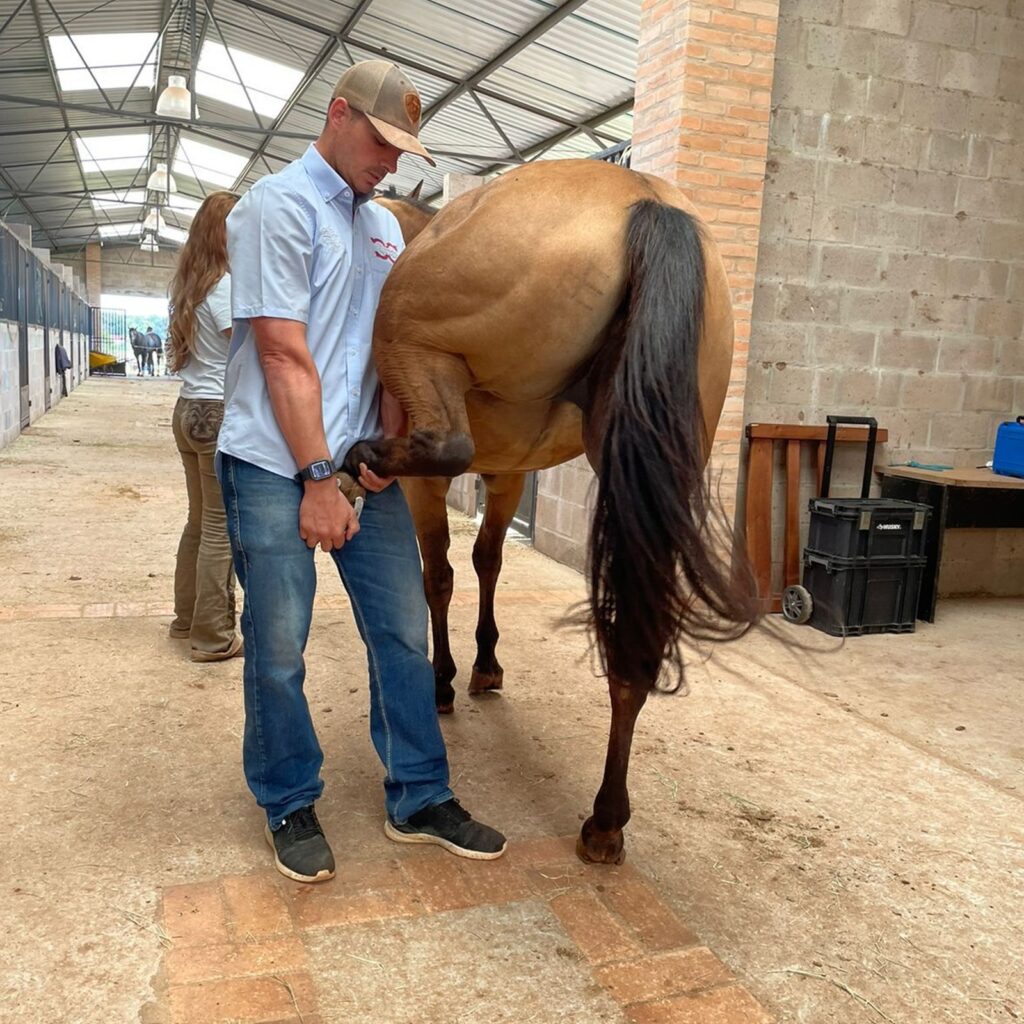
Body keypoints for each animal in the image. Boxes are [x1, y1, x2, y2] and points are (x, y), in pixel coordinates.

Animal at [352, 161, 761, 864]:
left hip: (410, 336)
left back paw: (361, 456)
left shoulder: (430, 490)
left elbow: (442, 576)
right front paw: (486, 666)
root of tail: (647, 204)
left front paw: (445, 680)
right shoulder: (513, 475)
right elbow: (488, 560)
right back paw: (606, 821)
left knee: (444, 446)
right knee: (634, 649)